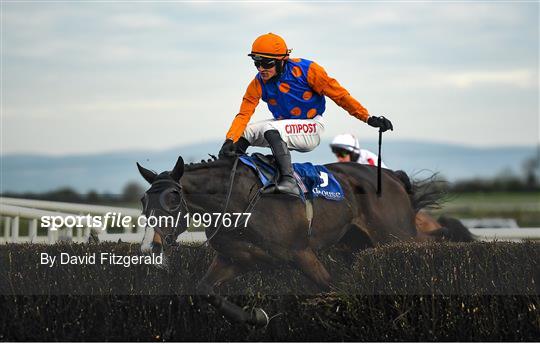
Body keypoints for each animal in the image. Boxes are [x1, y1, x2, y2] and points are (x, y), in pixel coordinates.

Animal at [136, 155, 472, 326]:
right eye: (143, 200)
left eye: (173, 198)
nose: (150, 247)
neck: (240, 201)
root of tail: (391, 176)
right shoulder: (235, 259)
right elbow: (205, 290)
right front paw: (256, 316)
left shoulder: (302, 255)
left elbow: (333, 289)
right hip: (359, 242)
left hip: (394, 234)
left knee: (427, 243)